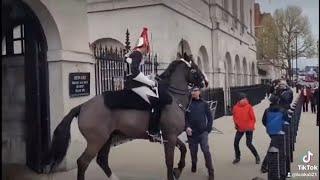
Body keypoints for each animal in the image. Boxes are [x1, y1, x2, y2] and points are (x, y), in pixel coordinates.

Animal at [46, 53, 209, 180]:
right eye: (194, 69)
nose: (205, 82)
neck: (173, 98)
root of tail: (84, 105)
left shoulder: (170, 137)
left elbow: (183, 150)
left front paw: (178, 170)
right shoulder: (171, 136)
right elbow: (169, 161)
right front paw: (174, 172)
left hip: (107, 138)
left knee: (102, 160)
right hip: (96, 141)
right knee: (83, 162)